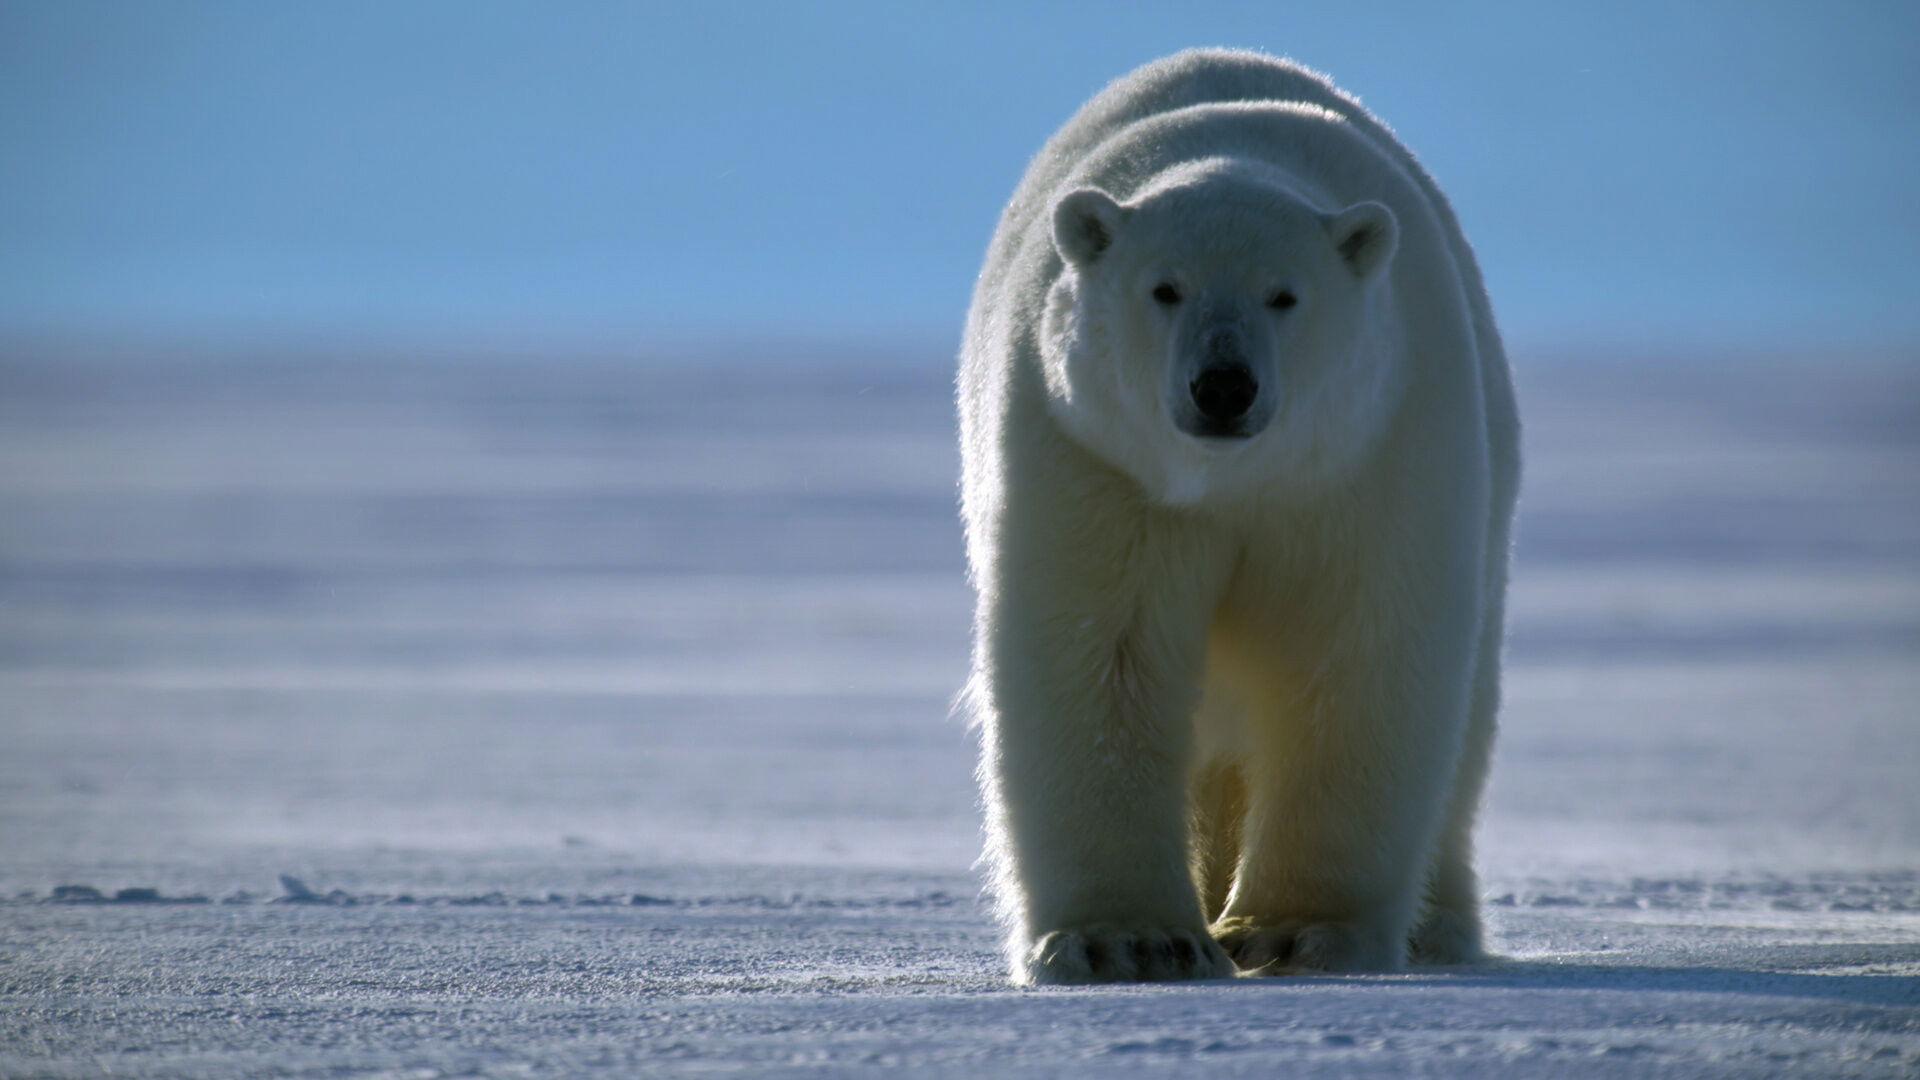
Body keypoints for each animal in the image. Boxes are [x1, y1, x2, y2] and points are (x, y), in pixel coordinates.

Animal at [957, 49, 1520, 984]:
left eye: (1284, 295)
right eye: (1165, 289)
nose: (1223, 385)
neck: (1233, 484)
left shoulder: (1370, 454)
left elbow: (1353, 656)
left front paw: (1293, 933)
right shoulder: (1095, 459)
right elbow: (1100, 658)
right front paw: (1126, 941)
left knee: (1466, 726)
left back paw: (1435, 927)